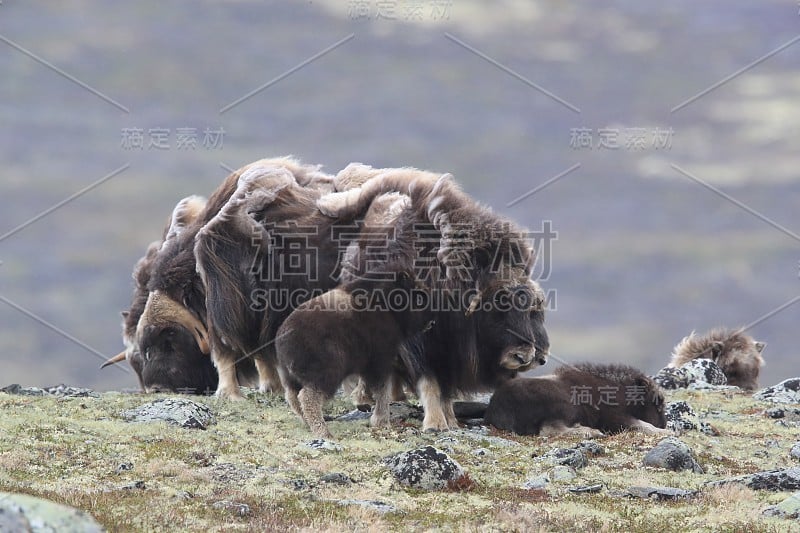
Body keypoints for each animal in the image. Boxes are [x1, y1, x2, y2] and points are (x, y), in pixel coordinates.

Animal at [278, 266, 434, 436]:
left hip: (291, 379)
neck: (386, 304)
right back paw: (324, 432)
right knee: (307, 397)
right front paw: (382, 421)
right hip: (327, 375)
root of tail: (284, 337)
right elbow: (382, 390)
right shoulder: (380, 360)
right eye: (419, 295)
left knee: (293, 397)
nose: (432, 321)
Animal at [488, 362, 668, 436]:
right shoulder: (613, 417)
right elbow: (640, 424)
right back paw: (593, 432)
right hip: (565, 407)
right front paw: (666, 432)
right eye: (658, 401)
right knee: (550, 429)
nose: (664, 424)